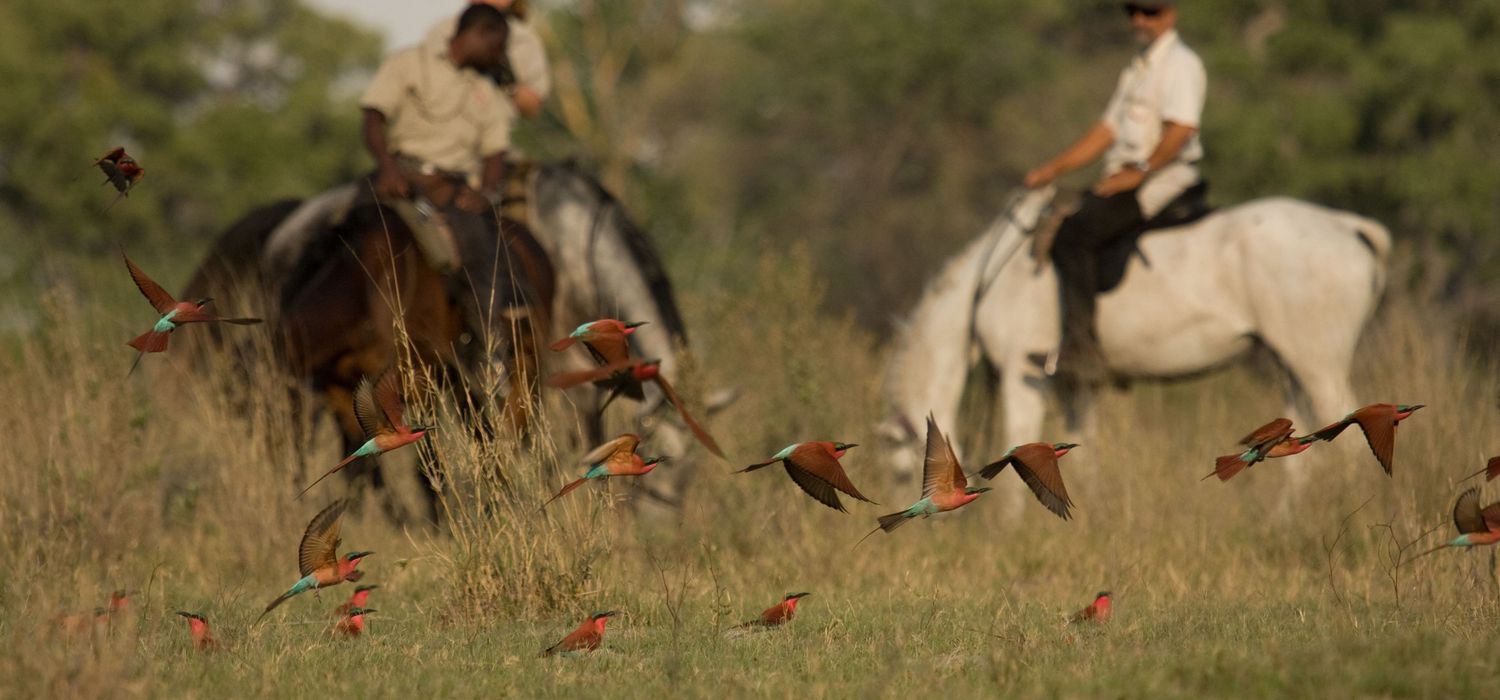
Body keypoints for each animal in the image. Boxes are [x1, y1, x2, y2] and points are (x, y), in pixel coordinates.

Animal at [183, 197, 558, 521]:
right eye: (242, 416)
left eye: (272, 413)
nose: (276, 480)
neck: (365, 291)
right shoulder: (340, 390)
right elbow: (360, 464)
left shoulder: (417, 381)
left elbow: (427, 462)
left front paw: (438, 521)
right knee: (485, 433)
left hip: (524, 368)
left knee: (517, 430)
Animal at [876, 185, 1392, 494]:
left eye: (903, 473)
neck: (986, 287)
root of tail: (1350, 227)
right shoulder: (1076, 386)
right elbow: (1079, 449)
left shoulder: (1023, 376)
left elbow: (1017, 440)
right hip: (1288, 365)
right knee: (1297, 446)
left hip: (1318, 362)